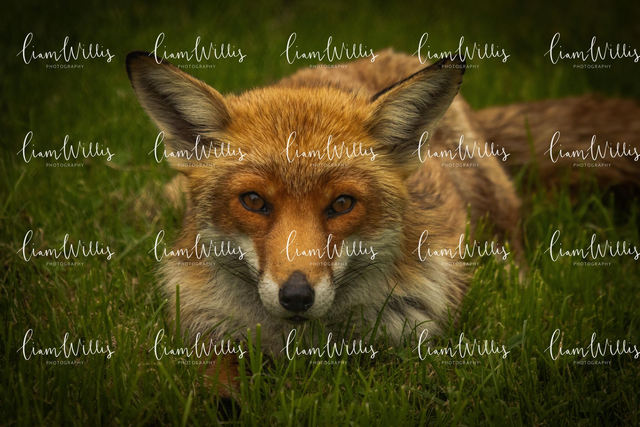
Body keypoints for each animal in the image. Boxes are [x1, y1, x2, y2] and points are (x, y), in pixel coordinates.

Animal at [126, 49, 640, 394]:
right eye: (253, 201)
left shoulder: (411, 341)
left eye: (341, 204)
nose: (297, 296)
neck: (304, 344)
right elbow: (216, 384)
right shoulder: (205, 332)